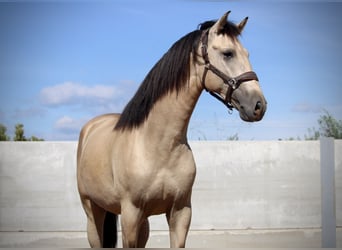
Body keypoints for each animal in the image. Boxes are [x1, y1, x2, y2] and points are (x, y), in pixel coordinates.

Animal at [77, 11, 268, 246]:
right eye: (228, 53)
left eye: (247, 53)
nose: (259, 105)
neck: (158, 146)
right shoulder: (130, 213)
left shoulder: (181, 211)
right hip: (93, 210)